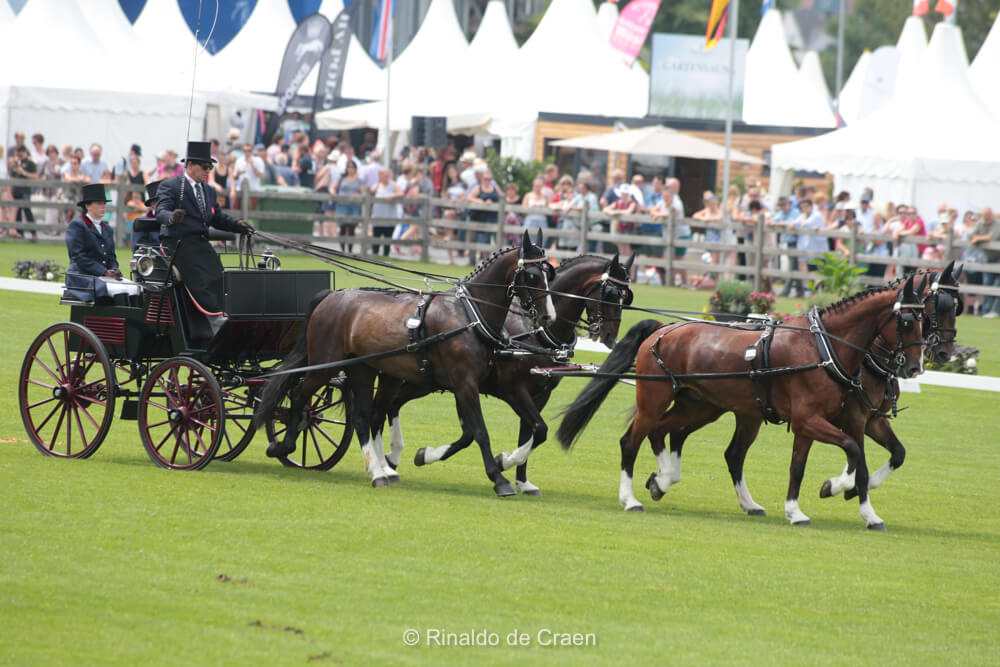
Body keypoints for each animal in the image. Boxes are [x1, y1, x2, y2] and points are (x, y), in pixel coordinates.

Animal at [255, 231, 556, 495]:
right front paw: (499, 478)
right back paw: (285, 445)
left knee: (364, 417)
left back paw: (378, 472)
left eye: (549, 274)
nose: (548, 317)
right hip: (324, 364)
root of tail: (333, 295)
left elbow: (493, 431)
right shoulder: (466, 383)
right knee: (299, 395)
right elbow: (481, 432)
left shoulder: (472, 386)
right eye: (532, 275)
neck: (470, 316)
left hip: (364, 370)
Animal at [378, 253, 635, 495]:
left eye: (626, 297)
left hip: (425, 381)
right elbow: (538, 430)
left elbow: (529, 433)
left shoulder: (540, 395)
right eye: (610, 293)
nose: (611, 337)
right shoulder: (513, 390)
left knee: (394, 404)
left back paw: (392, 459)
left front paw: (522, 481)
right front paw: (504, 462)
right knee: (391, 404)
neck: (536, 331)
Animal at [556, 276, 926, 530]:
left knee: (679, 437)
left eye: (925, 319)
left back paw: (669, 482)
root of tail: (663, 329)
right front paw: (839, 491)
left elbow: (809, 465)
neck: (822, 347)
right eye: (908, 321)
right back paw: (631, 498)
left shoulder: (826, 421)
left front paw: (804, 508)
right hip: (654, 399)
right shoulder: (813, 420)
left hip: (701, 405)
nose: (915, 366)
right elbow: (852, 453)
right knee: (631, 441)